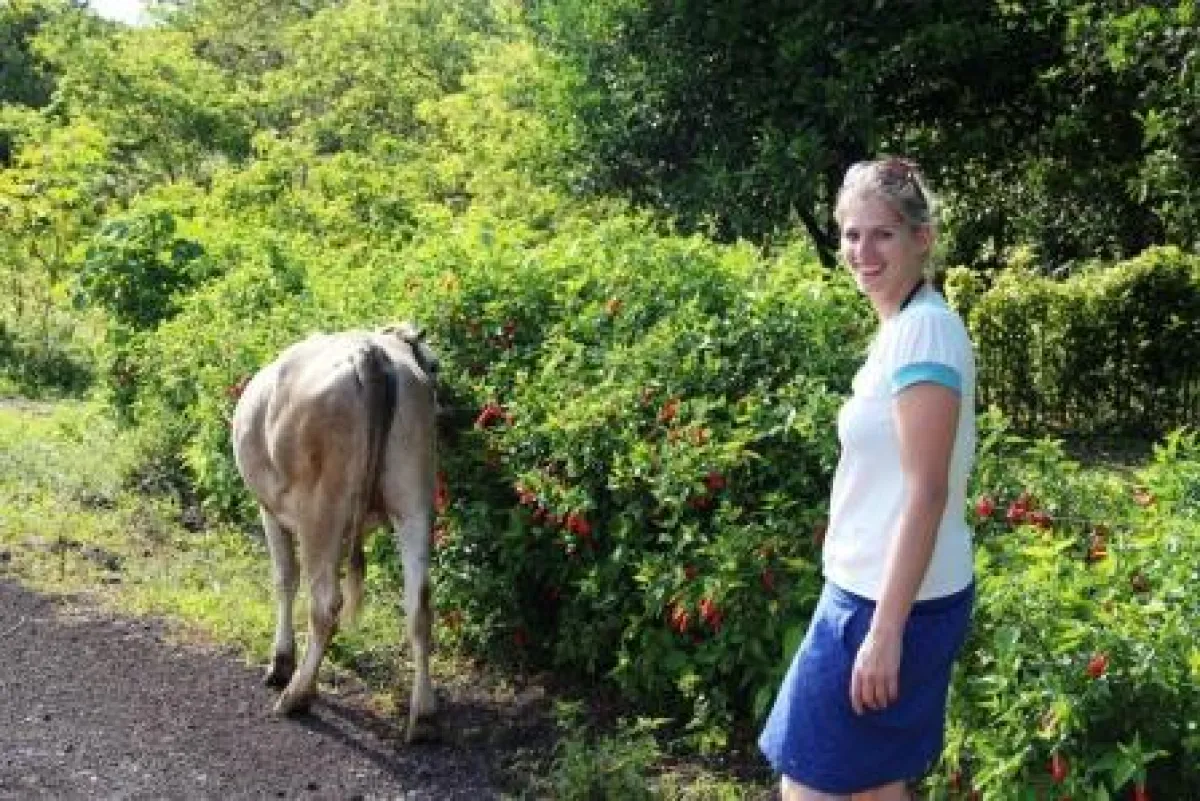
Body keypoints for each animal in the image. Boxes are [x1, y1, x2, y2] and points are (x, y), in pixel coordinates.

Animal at [231, 322, 440, 742]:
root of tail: (370, 351)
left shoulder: (270, 510)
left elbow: (284, 578)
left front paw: (281, 663)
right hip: (413, 501)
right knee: (419, 605)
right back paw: (423, 717)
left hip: (320, 509)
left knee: (325, 601)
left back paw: (296, 695)